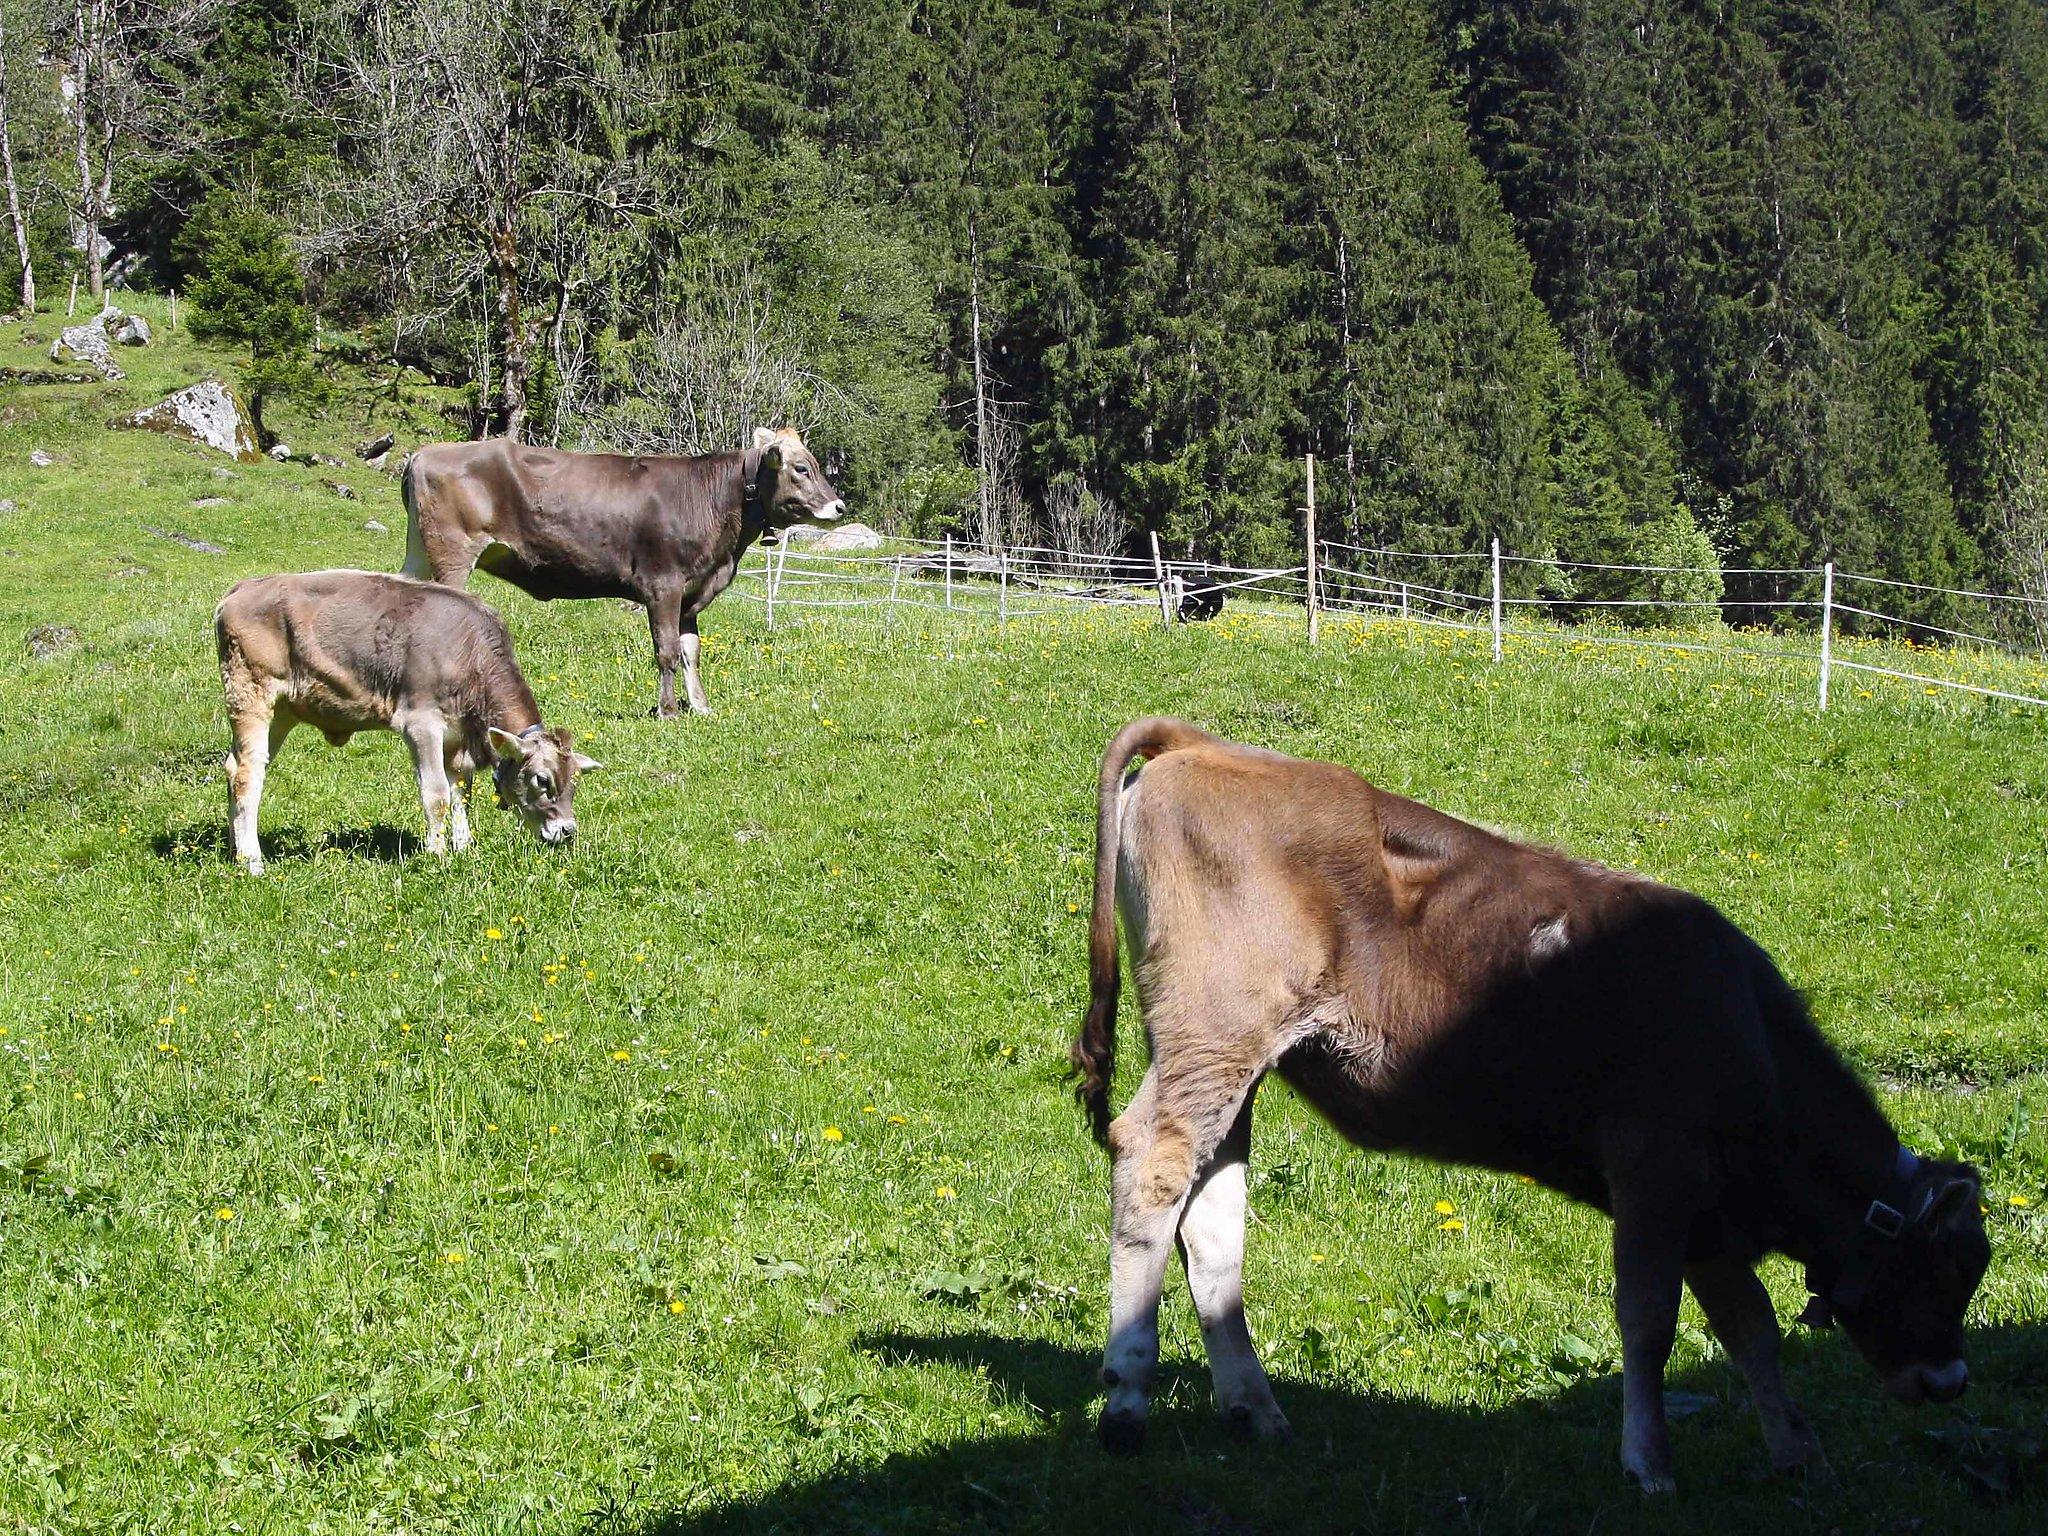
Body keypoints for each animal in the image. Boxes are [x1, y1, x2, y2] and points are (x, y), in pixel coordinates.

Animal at [395, 423, 843, 720]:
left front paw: (701, 707)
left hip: (420, 555)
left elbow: (691, 650)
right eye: (801, 468)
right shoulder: (663, 584)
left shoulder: (691, 591)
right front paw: (668, 711)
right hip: (452, 555)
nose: (839, 507)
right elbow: (667, 651)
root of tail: (424, 453)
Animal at [1073, 729, 1982, 1499]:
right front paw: (1650, 1463)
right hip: (1215, 1034)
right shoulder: (1655, 1167)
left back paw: (1254, 1410)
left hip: (1231, 1062)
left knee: (1211, 1210)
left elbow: (1750, 1328)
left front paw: (1800, 1453)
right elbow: (1649, 1321)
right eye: (1946, 1267)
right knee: (1153, 1162)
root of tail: (1202, 743)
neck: (1744, 1027)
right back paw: (1125, 1402)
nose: (1950, 1384)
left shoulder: (1708, 1214)